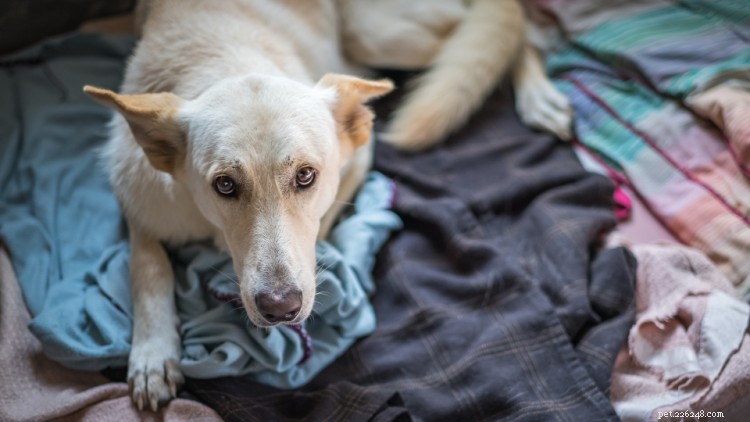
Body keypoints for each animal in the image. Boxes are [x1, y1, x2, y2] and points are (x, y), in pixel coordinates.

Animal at [83, 0, 576, 410]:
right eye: (224, 185)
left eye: (305, 176)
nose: (280, 307)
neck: (226, 57)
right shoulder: (139, 202)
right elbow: (149, 267)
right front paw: (152, 353)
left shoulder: (358, 159)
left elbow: (325, 226)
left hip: (379, 33)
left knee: (505, 30)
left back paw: (540, 97)